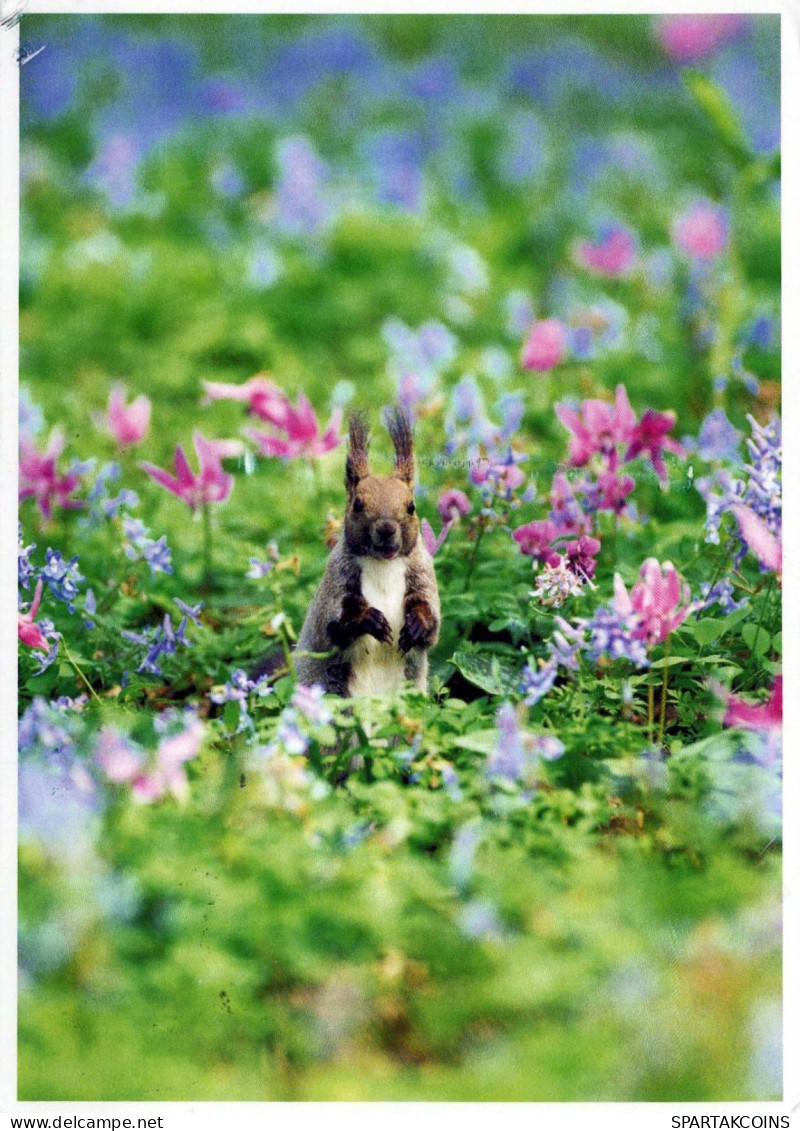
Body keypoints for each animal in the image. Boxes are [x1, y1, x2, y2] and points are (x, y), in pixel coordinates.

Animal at [294, 402, 441, 692]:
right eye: (357, 505)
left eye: (411, 506)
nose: (386, 529)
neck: (383, 564)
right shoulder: (336, 579)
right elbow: (334, 623)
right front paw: (369, 619)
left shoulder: (421, 572)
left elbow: (430, 616)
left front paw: (417, 624)